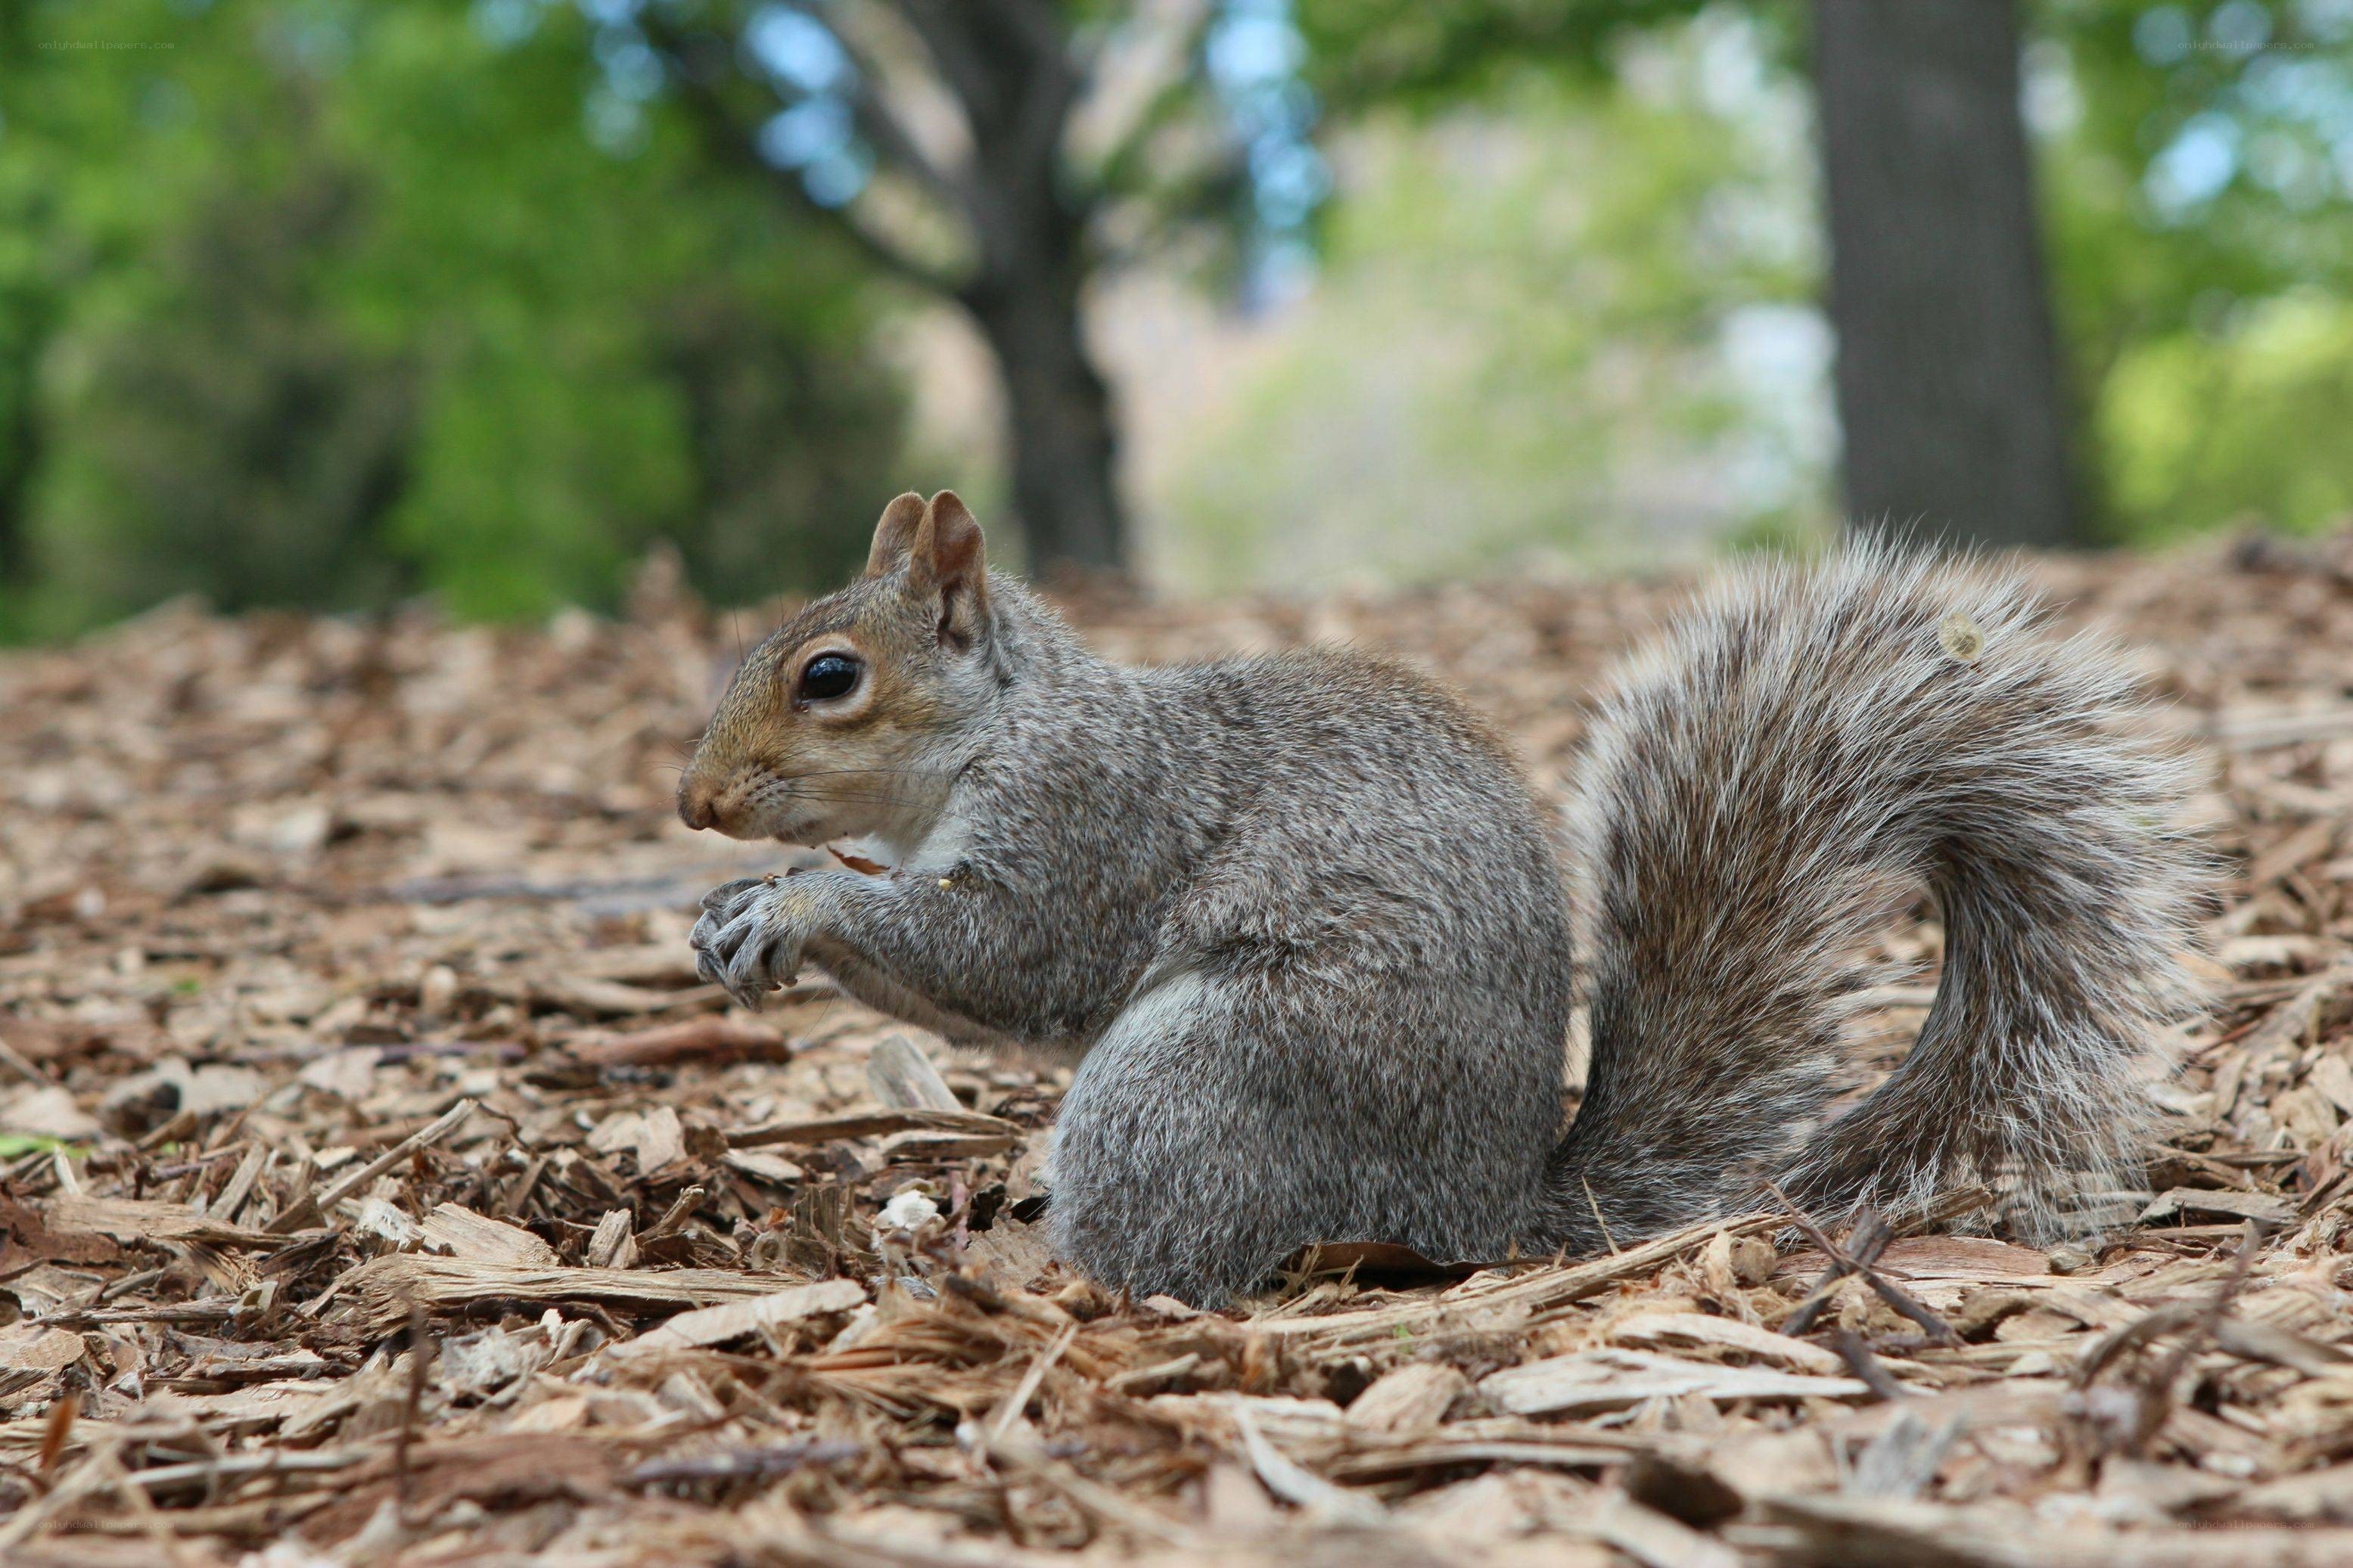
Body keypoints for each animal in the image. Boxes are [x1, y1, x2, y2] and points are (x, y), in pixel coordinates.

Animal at [677, 491, 2208, 1306]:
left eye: (829, 676)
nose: (695, 800)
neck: (1001, 728)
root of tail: (1491, 1212)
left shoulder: (1093, 820)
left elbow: (1012, 956)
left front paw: (797, 903)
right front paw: (740, 906)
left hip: (1214, 1075)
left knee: (1169, 1252)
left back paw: (1021, 1272)